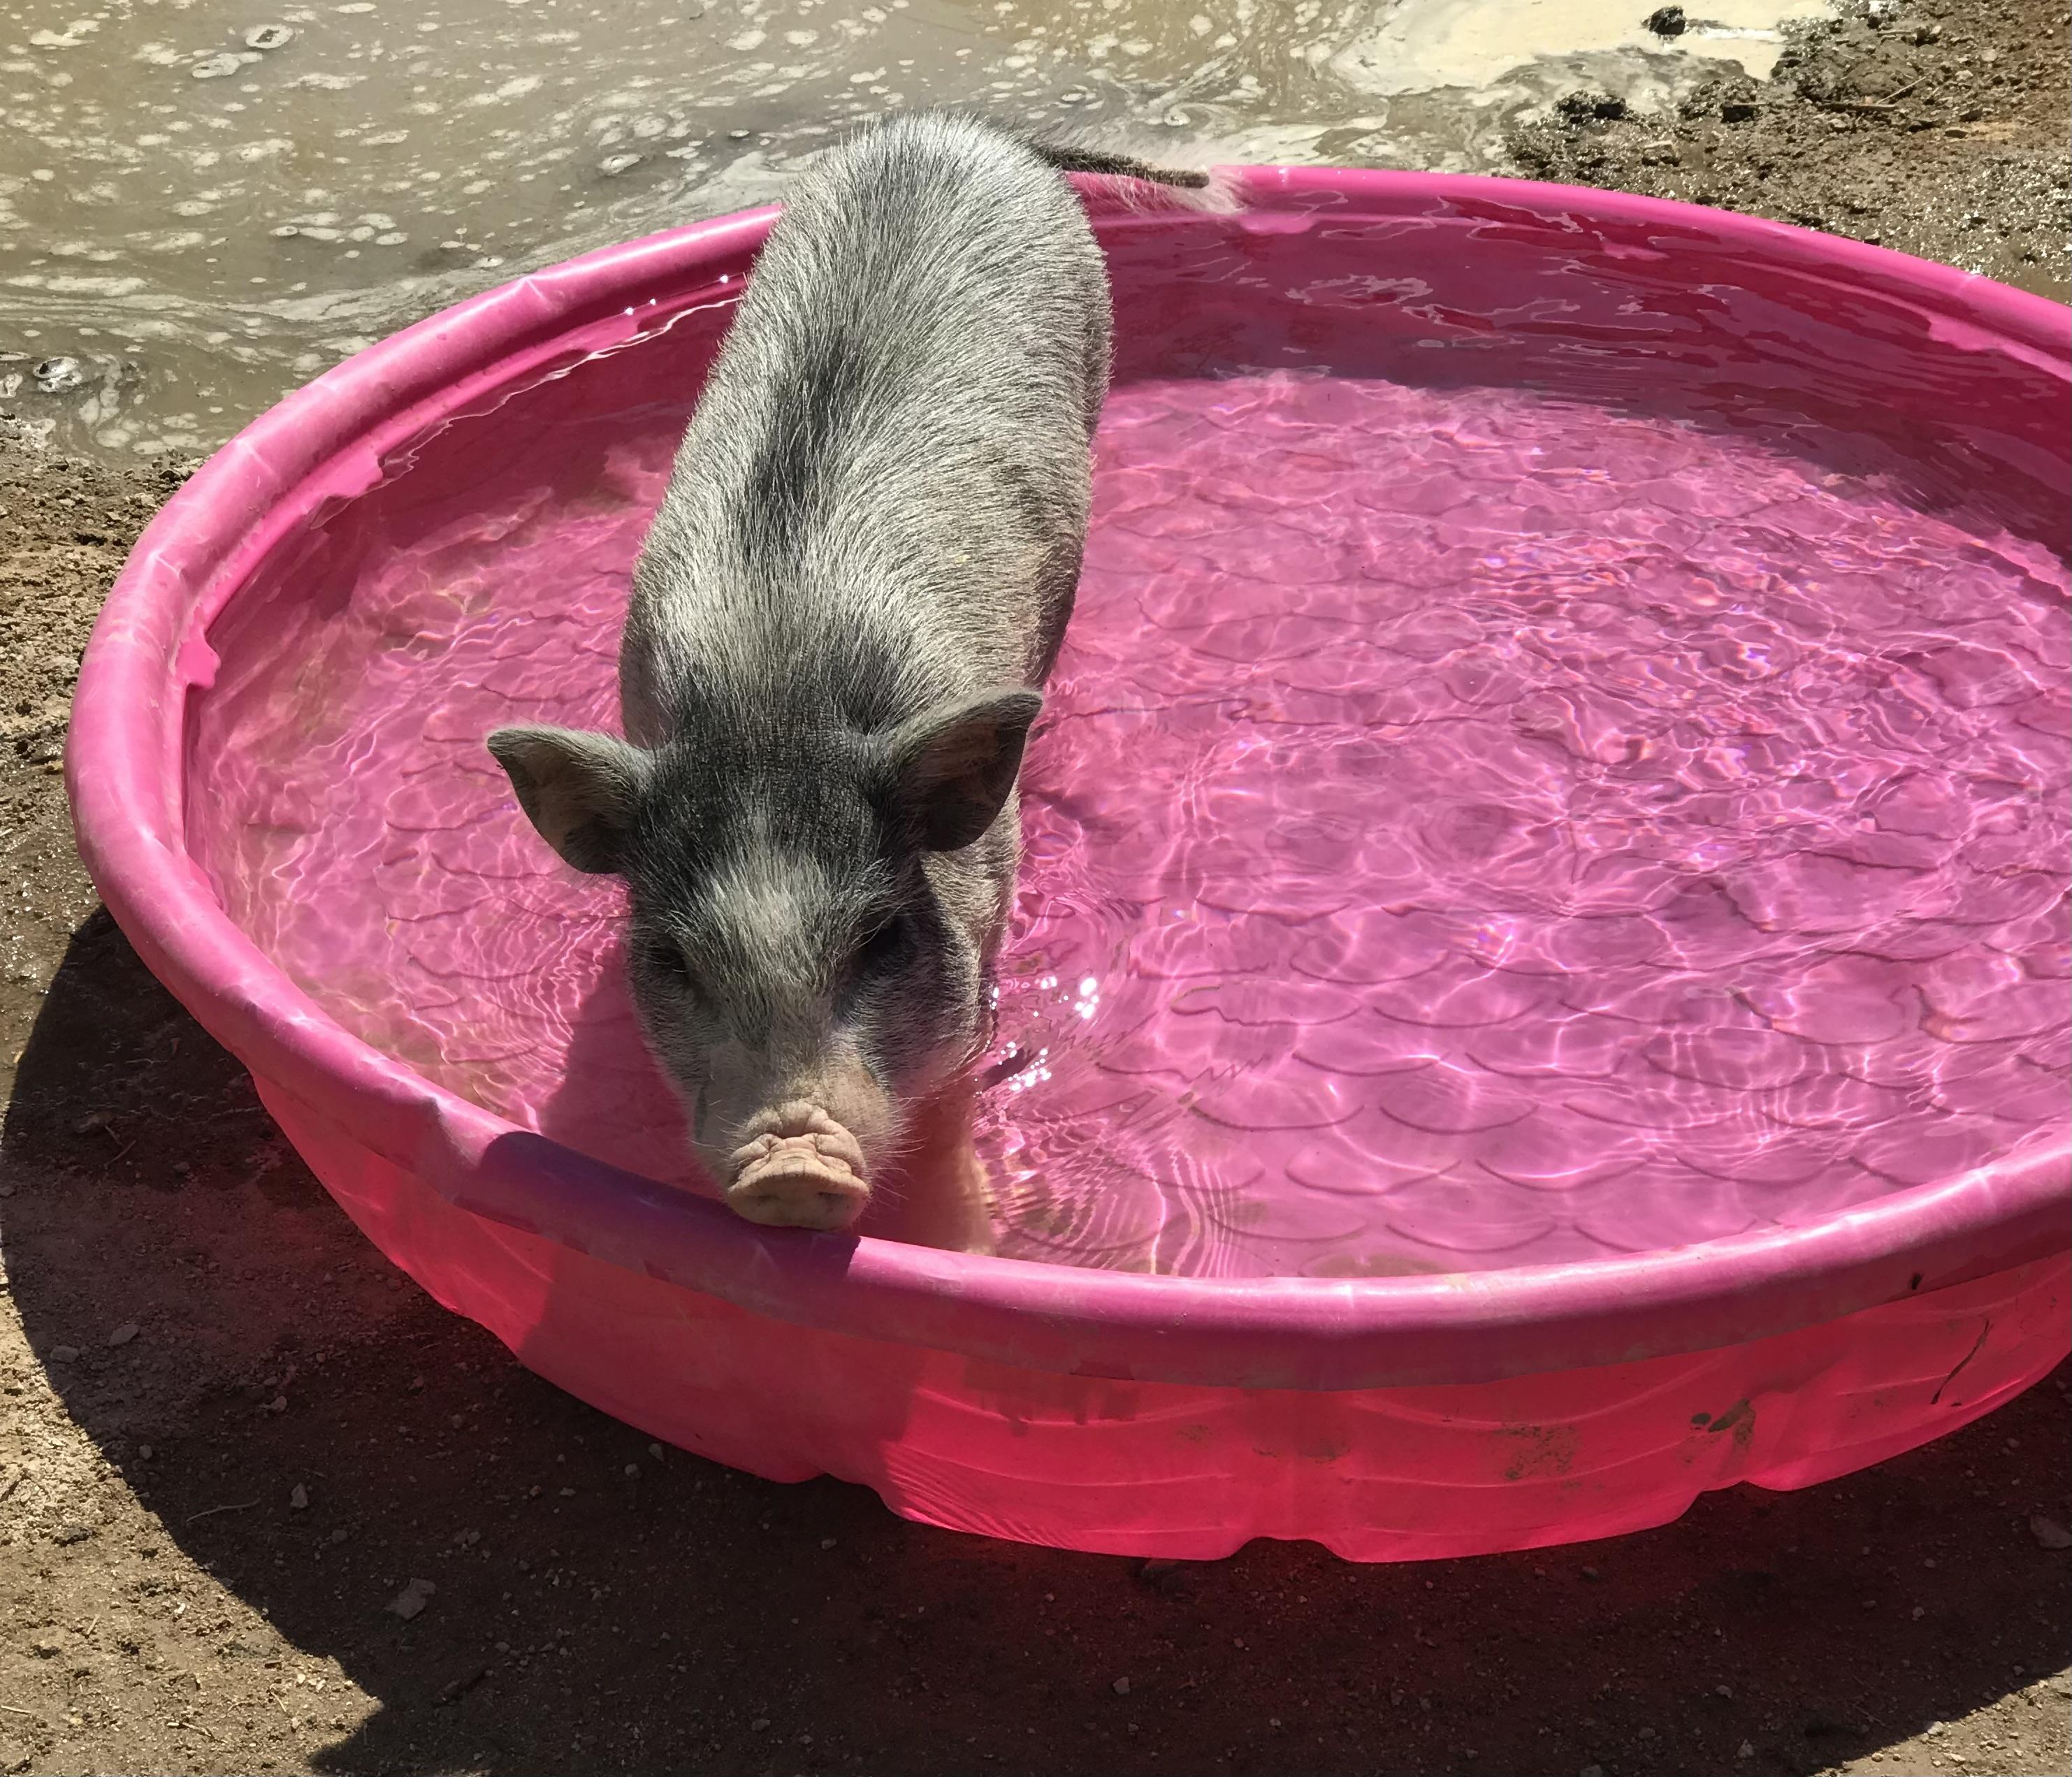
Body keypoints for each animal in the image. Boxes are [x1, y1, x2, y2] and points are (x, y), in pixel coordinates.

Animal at [486, 111, 1213, 1234]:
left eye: (881, 939)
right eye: (674, 959)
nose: (792, 1167)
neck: (772, 701)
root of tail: (963, 129)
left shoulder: (980, 954)